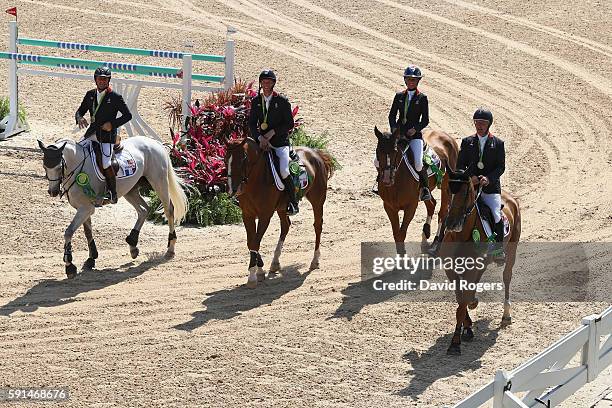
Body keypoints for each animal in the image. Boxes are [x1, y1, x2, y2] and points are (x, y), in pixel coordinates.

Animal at [37, 135, 188, 278]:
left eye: (58, 167)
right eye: (45, 167)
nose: (53, 192)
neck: (78, 165)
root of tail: (154, 142)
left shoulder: (86, 208)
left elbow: (68, 232)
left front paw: (69, 266)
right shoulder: (84, 208)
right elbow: (88, 232)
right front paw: (91, 259)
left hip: (159, 181)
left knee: (169, 210)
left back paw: (170, 249)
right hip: (130, 189)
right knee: (144, 210)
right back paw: (133, 245)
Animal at [226, 139, 334, 288]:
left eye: (243, 159)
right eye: (226, 158)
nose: (233, 190)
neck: (255, 180)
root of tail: (315, 152)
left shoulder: (265, 215)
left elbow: (255, 242)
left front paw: (252, 276)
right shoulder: (247, 215)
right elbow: (251, 242)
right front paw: (260, 270)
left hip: (317, 199)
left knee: (317, 226)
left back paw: (315, 261)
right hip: (283, 208)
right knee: (285, 226)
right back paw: (275, 263)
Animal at [372, 126, 460, 255]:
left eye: (395, 151)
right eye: (378, 151)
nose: (387, 179)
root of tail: (448, 137)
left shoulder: (411, 206)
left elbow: (401, 234)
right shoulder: (389, 207)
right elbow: (396, 234)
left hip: (446, 187)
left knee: (443, 212)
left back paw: (435, 244)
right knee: (431, 204)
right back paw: (425, 235)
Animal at [440, 167, 520, 356]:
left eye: (465, 192)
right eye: (446, 189)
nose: (451, 224)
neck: (461, 236)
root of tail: (511, 198)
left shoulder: (471, 268)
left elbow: (462, 303)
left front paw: (455, 343)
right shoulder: (451, 269)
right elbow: (460, 297)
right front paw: (467, 327)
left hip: (512, 248)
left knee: (507, 277)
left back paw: (506, 315)